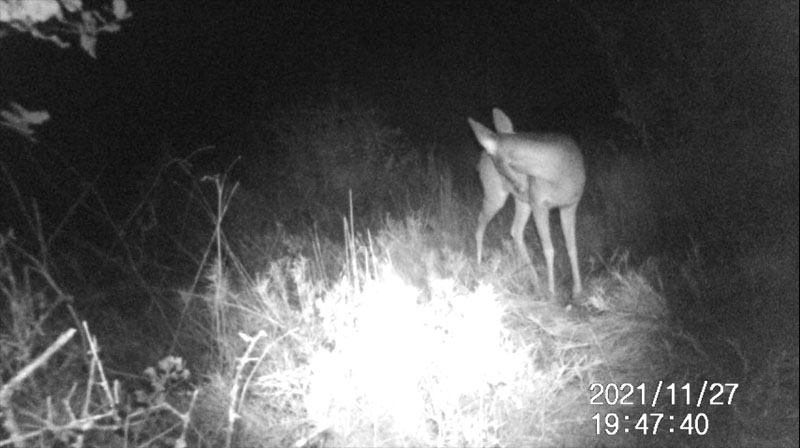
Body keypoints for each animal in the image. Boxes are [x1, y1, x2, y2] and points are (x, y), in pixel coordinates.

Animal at [466, 107, 584, 298]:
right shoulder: (539, 204)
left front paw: (578, 290)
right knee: (480, 223)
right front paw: (552, 292)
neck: (558, 173)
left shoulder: (570, 205)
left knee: (515, 230)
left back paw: (534, 279)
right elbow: (549, 249)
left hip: (522, 202)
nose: (521, 186)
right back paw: (479, 265)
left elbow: (572, 247)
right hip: (496, 195)